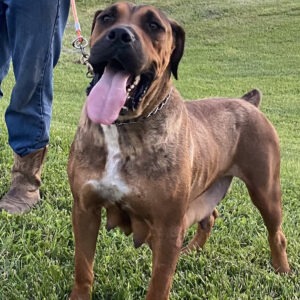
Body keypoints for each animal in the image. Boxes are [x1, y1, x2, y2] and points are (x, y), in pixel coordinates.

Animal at [67, 2, 288, 300]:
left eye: (153, 26)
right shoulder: (85, 209)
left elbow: (159, 284)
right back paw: (192, 250)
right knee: (210, 217)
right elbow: (83, 268)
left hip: (266, 191)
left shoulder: (168, 228)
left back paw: (282, 271)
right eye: (107, 17)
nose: (120, 35)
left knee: (277, 234)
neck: (124, 126)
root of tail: (248, 102)